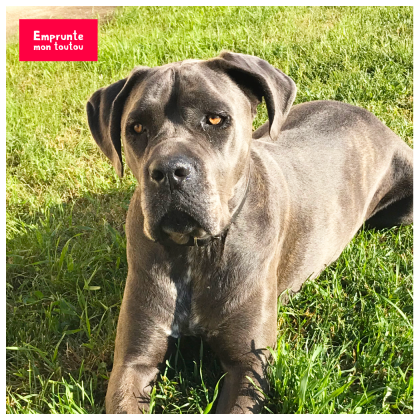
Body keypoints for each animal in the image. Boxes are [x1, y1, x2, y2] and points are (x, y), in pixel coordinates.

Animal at [86, 51, 414, 414]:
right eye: (137, 127)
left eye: (216, 119)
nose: (169, 171)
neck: (195, 251)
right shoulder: (133, 360)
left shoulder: (249, 363)